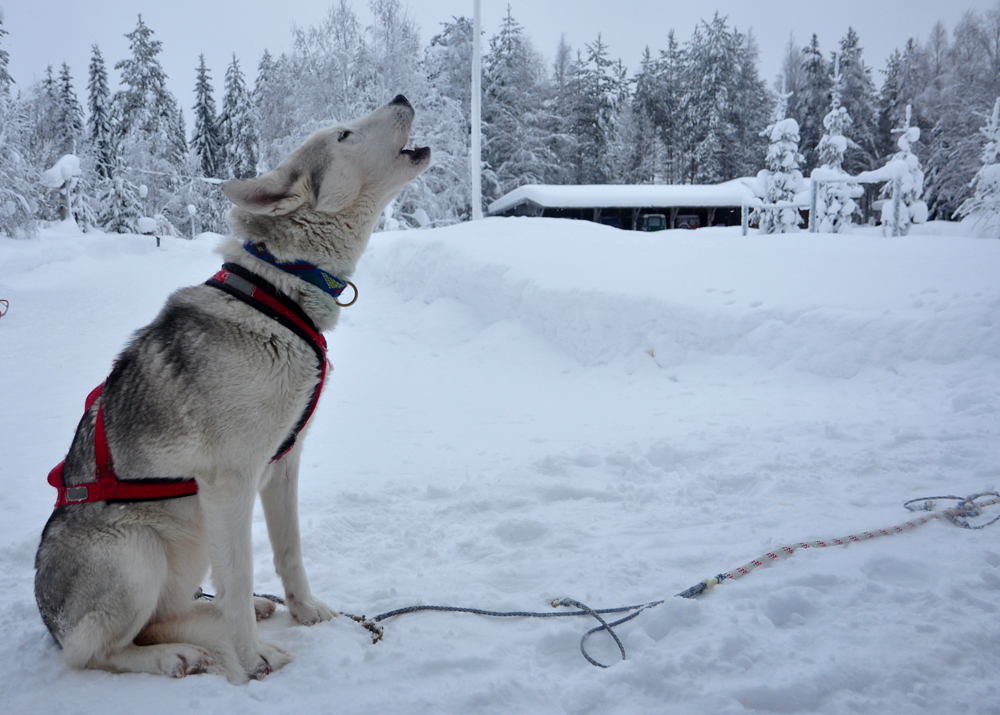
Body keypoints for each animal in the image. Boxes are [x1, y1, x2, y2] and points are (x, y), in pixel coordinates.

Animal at [35, 93, 432, 684]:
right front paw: (251, 660)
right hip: (140, 551)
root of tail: (50, 621)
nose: (402, 97)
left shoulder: (282, 466)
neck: (278, 291)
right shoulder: (229, 484)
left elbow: (289, 553)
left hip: (189, 545)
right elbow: (240, 578)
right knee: (94, 651)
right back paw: (174, 655)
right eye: (343, 134)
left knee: (168, 614)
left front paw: (304, 611)